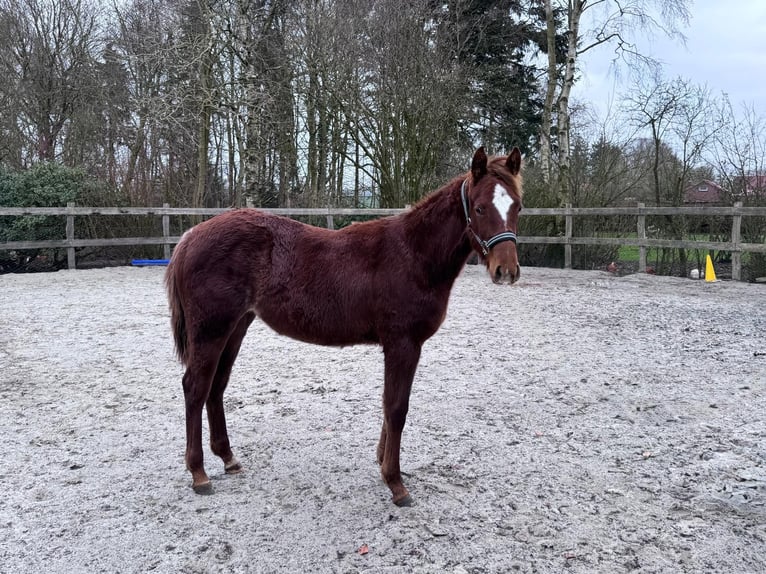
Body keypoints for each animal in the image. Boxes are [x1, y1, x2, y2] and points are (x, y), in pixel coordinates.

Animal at [165, 146, 523, 506]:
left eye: (517, 206)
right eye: (479, 207)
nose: (506, 270)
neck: (413, 255)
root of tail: (191, 236)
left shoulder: (399, 346)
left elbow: (388, 404)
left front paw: (382, 463)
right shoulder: (403, 344)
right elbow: (397, 408)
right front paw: (395, 483)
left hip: (236, 326)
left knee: (216, 387)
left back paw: (228, 458)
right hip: (211, 330)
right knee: (195, 387)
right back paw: (199, 473)